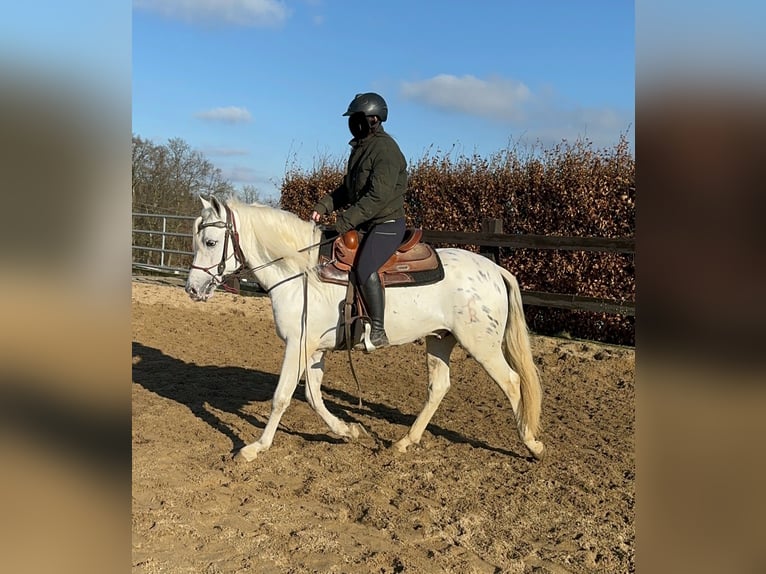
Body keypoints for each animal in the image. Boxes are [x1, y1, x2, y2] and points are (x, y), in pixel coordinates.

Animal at [186, 197, 544, 464]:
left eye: (211, 241)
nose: (192, 288)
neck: (301, 272)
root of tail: (494, 269)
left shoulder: (296, 345)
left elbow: (282, 397)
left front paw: (255, 448)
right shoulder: (313, 349)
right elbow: (312, 396)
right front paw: (348, 431)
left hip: (482, 345)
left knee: (512, 383)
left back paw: (531, 443)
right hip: (440, 340)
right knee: (439, 387)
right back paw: (405, 441)